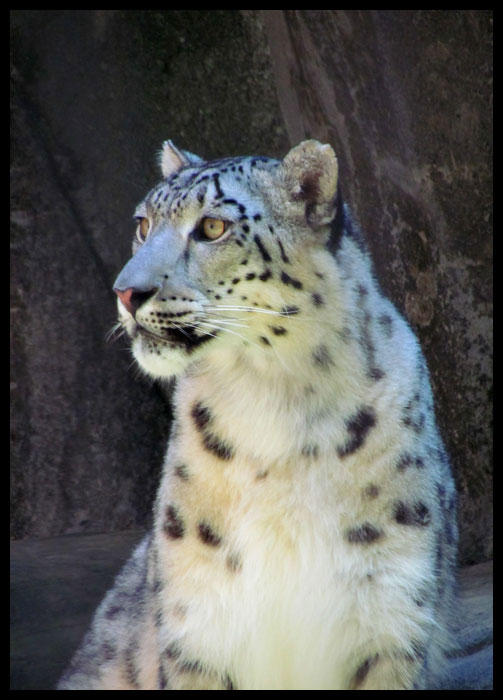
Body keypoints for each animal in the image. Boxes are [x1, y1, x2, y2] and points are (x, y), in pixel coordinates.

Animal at [58, 139, 457, 690]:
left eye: (211, 227)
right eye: (143, 223)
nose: (126, 292)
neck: (273, 398)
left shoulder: (390, 609)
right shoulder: (198, 619)